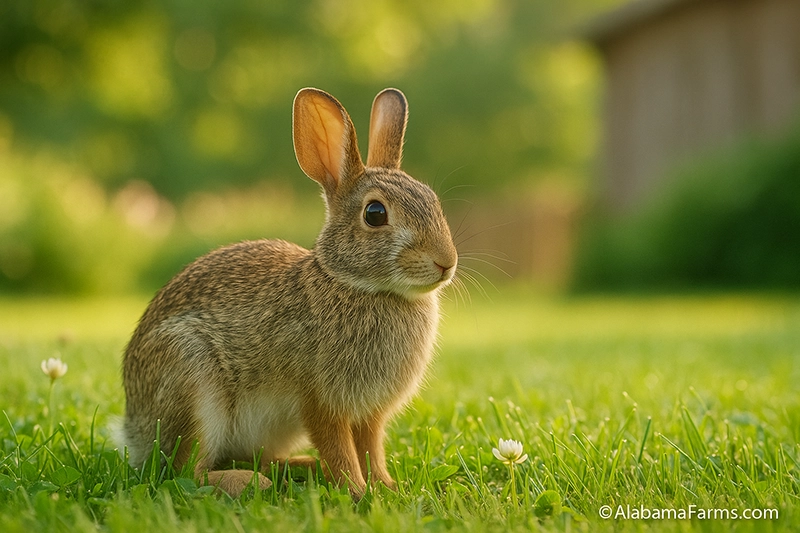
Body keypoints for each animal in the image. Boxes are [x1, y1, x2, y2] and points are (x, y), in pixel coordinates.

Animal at [121, 87, 458, 498]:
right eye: (375, 214)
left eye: (433, 202)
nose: (446, 261)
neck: (357, 284)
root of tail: (133, 431)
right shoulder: (319, 401)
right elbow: (340, 449)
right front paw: (358, 492)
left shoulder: (370, 412)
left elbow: (371, 447)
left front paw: (387, 487)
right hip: (192, 382)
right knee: (185, 471)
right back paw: (251, 483)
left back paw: (301, 469)